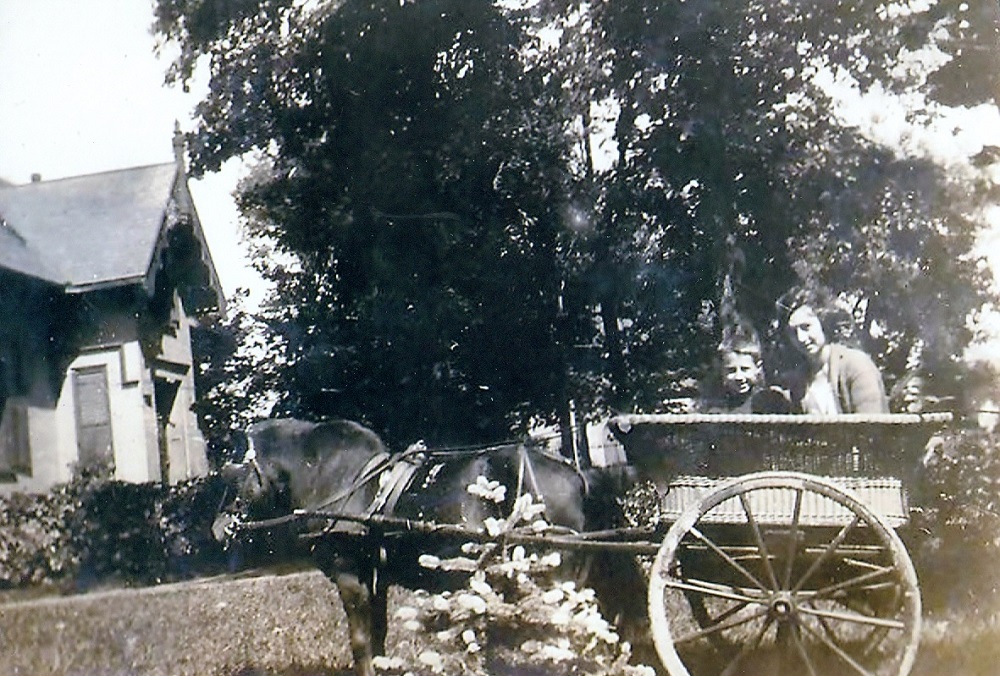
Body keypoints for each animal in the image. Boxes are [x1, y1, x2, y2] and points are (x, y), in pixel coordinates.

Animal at [214, 418, 644, 676]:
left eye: (231, 476)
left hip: (556, 581)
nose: (217, 530)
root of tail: (580, 475)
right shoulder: (377, 576)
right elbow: (379, 634)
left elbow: (360, 640)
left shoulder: (349, 575)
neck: (340, 480)